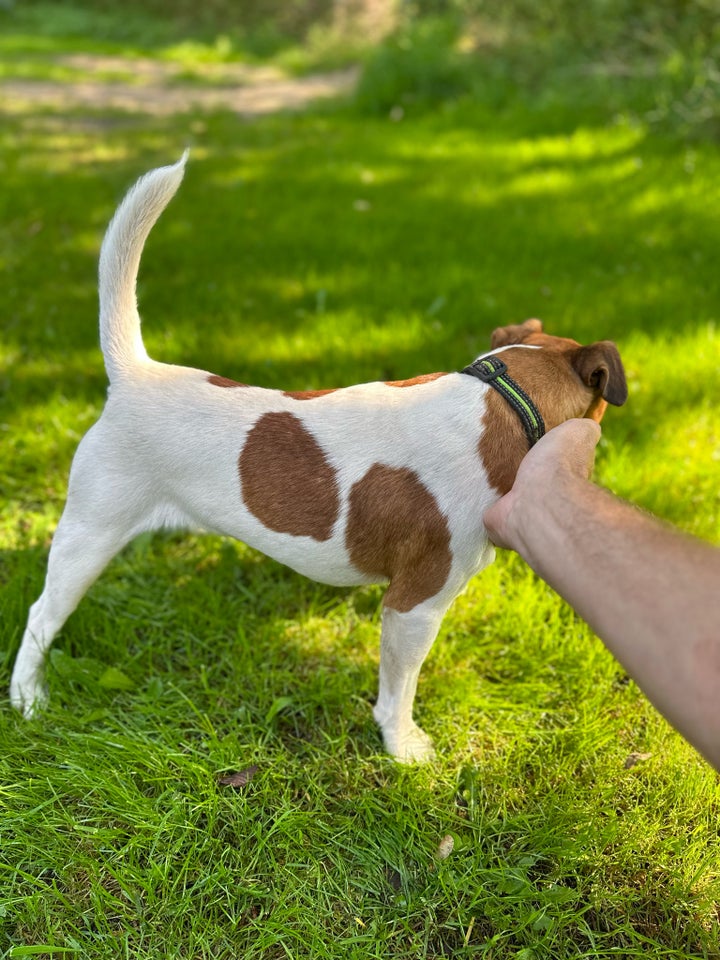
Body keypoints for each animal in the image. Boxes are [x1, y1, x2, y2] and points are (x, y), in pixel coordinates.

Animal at [8, 156, 628, 756]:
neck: (503, 401)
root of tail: (135, 374)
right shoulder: (415, 604)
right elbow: (399, 689)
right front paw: (403, 747)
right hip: (90, 533)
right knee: (40, 616)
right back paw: (28, 698)